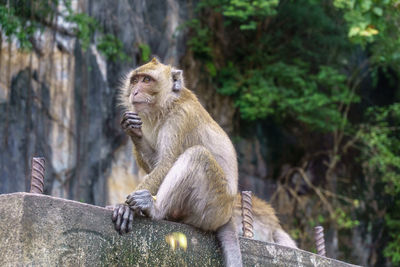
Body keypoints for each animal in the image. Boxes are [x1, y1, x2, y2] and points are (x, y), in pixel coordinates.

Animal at [113, 57, 244, 266]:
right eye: (135, 80)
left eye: (147, 80)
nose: (134, 91)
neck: (168, 104)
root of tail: (228, 214)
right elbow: (156, 163)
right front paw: (133, 130)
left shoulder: (180, 118)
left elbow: (166, 163)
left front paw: (125, 208)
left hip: (212, 206)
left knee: (197, 155)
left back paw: (155, 209)